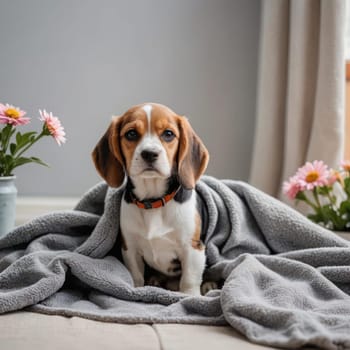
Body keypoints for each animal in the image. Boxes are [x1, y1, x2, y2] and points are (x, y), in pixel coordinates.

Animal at [91, 102, 209, 296]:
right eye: (131, 134)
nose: (149, 153)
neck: (153, 201)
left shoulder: (192, 248)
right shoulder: (130, 248)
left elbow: (189, 281)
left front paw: (190, 297)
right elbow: (136, 276)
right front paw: (137, 291)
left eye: (168, 134)